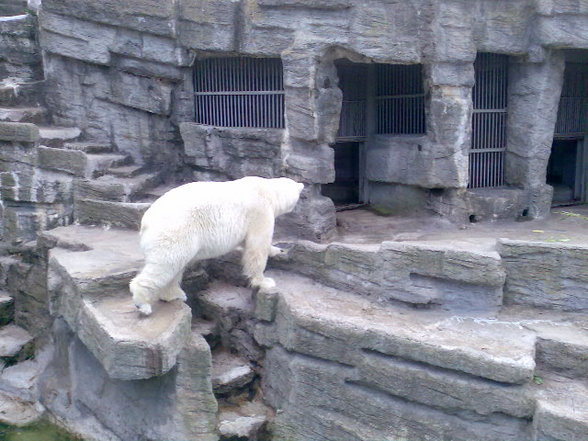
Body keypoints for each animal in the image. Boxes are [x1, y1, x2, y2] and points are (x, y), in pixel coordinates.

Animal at [129, 174, 304, 314]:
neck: (269, 191)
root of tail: (145, 222)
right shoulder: (260, 211)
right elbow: (257, 247)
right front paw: (265, 281)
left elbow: (248, 244)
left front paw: (278, 250)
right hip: (174, 232)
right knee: (165, 264)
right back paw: (143, 304)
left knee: (175, 266)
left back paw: (175, 294)